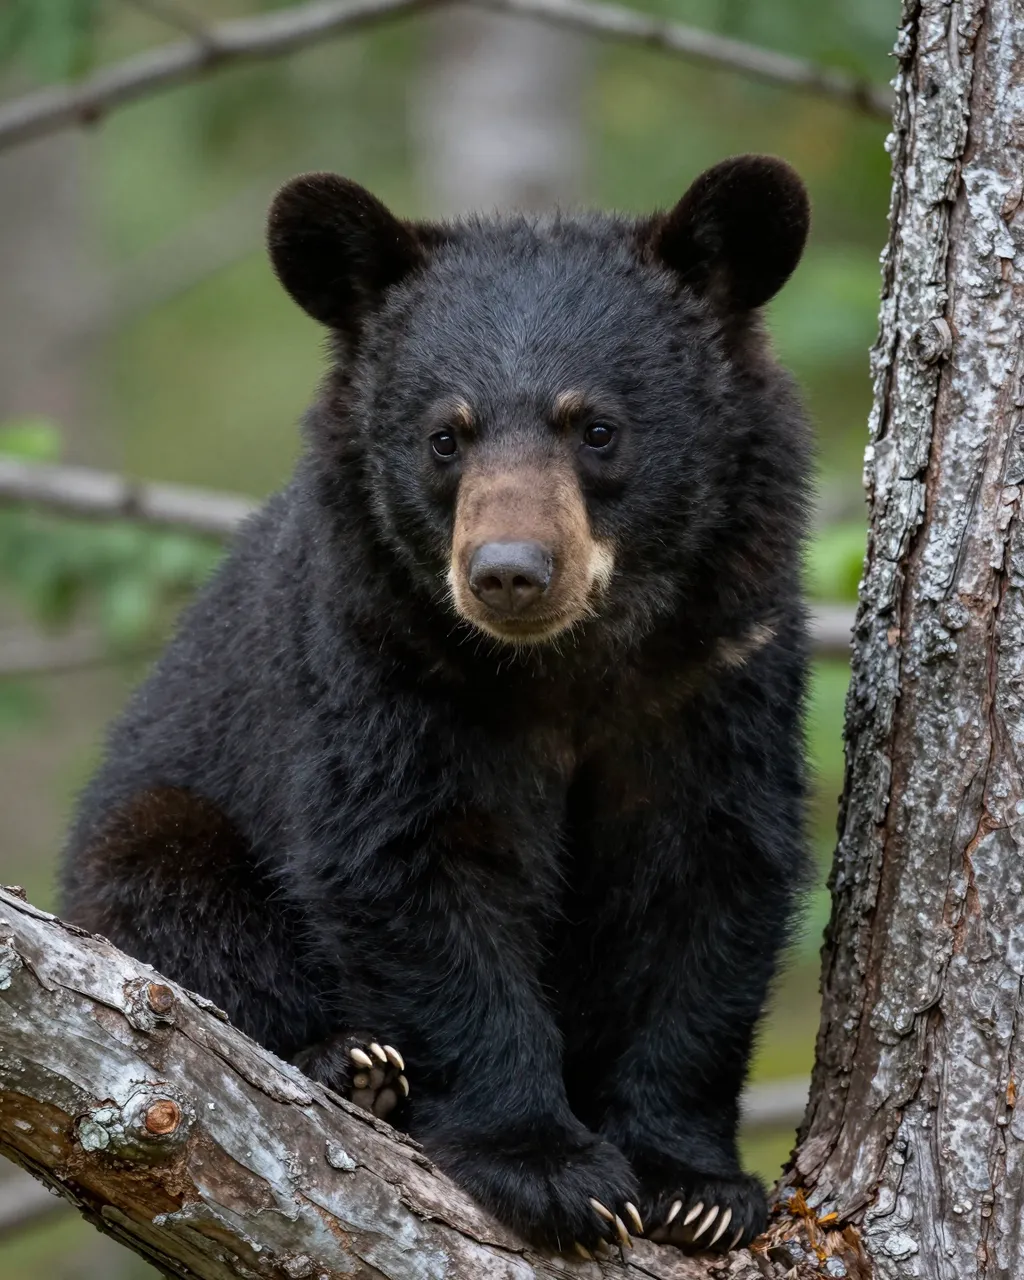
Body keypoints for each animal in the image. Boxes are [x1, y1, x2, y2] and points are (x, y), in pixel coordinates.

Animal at [61, 154, 812, 1257]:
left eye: (597, 428)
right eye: (443, 437)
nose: (508, 571)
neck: (563, 668)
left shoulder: (720, 668)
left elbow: (708, 879)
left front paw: (695, 1185)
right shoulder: (382, 664)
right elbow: (414, 866)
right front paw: (546, 1166)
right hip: (152, 830)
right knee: (172, 897)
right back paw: (351, 1065)